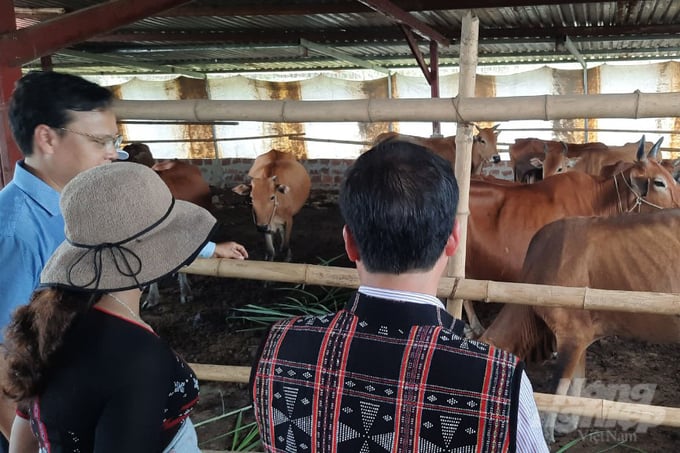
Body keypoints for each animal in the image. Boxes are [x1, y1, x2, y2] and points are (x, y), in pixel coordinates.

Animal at [484, 209, 680, 442]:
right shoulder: (582, 337)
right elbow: (577, 381)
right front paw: (569, 424)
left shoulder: (572, 334)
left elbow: (557, 388)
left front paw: (547, 432)